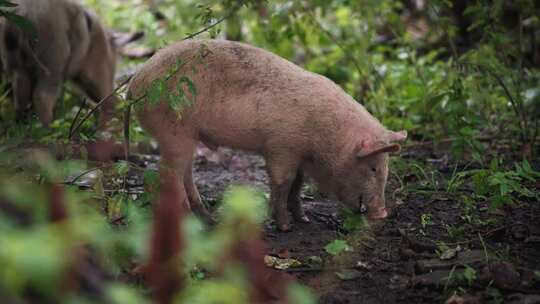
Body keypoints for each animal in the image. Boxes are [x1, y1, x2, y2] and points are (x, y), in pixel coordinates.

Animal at [0, 0, 134, 127]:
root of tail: (24, 14)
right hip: (54, 59)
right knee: (42, 96)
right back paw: (49, 129)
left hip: (18, 64)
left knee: (20, 93)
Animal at [127, 39, 404, 230]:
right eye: (373, 167)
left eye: (386, 167)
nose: (383, 213)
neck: (323, 135)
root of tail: (135, 84)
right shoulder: (280, 146)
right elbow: (282, 182)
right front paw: (285, 227)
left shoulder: (298, 154)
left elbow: (297, 184)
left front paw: (304, 220)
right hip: (174, 130)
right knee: (168, 174)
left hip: (186, 136)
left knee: (184, 173)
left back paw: (209, 219)